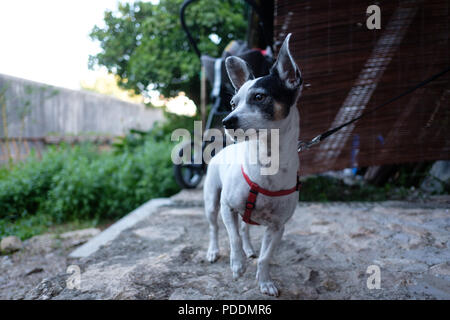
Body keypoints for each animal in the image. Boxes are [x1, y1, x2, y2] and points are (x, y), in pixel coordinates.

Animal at [203, 33, 302, 296]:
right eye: (232, 102)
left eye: (259, 97)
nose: (226, 121)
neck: (267, 162)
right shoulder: (227, 207)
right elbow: (233, 237)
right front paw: (237, 265)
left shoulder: (277, 227)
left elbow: (265, 257)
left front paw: (265, 282)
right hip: (212, 203)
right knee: (215, 229)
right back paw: (214, 251)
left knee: (245, 228)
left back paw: (249, 250)